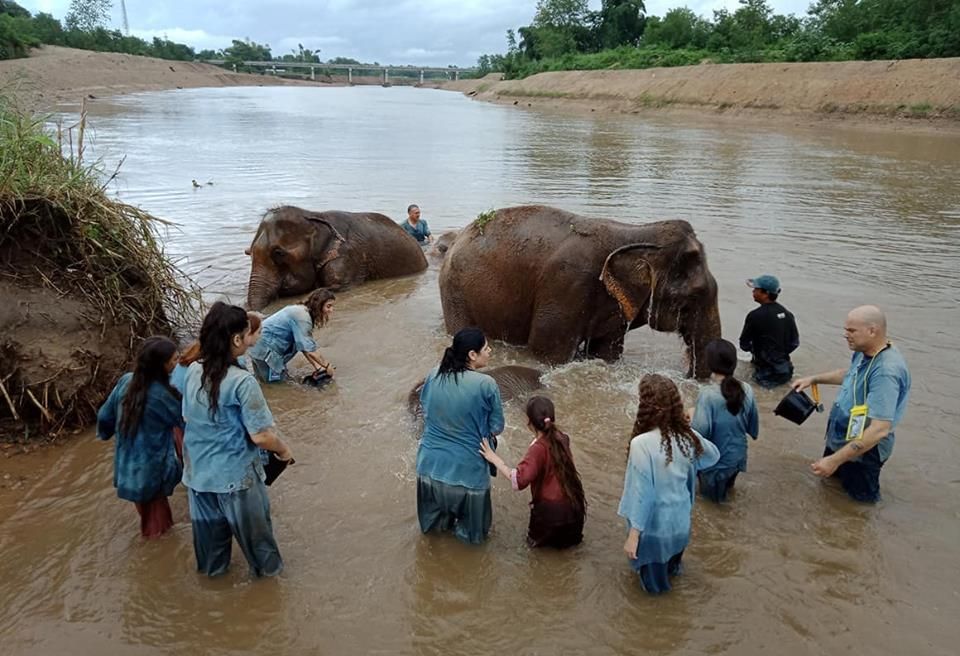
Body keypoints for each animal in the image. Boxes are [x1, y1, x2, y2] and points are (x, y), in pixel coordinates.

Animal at [439, 205, 721, 378]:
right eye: (695, 295)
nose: (688, 376)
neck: (636, 230)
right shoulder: (566, 284)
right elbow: (547, 350)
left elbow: (606, 352)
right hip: (455, 293)